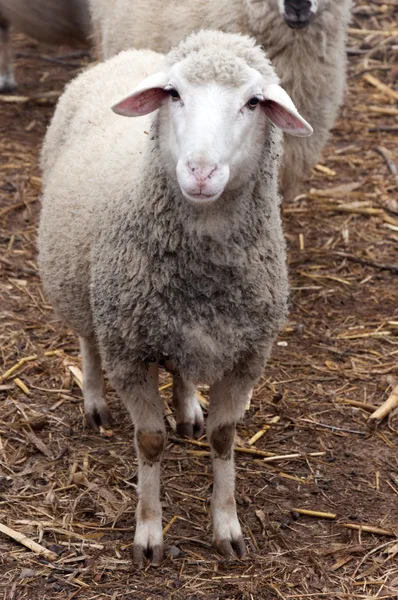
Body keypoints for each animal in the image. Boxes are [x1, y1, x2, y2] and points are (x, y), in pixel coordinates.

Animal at [37, 30, 312, 564]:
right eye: (174, 94)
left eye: (253, 102)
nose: (201, 171)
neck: (201, 276)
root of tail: (131, 55)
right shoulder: (128, 350)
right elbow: (149, 441)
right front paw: (149, 534)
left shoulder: (247, 356)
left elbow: (224, 438)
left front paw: (227, 526)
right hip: (83, 287)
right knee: (88, 342)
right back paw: (95, 402)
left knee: (182, 369)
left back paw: (187, 409)